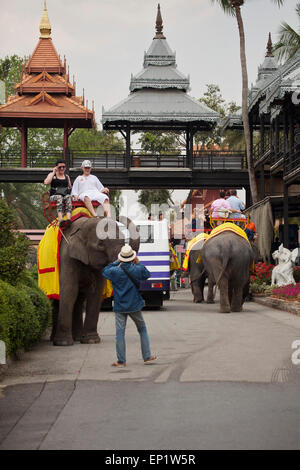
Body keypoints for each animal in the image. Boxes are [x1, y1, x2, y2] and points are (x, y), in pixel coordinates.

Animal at [52, 217, 139, 346]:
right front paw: (63, 343)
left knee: (79, 300)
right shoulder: (67, 256)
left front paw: (91, 341)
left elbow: (95, 292)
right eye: (100, 244)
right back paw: (55, 340)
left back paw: (78, 338)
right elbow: (69, 289)